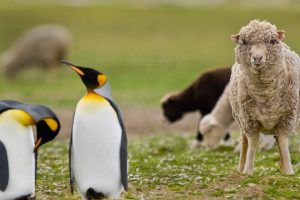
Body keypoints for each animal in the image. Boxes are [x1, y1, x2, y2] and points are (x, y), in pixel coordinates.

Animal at [229, 19, 298, 174]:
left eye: (272, 41)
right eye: (244, 42)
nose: (257, 58)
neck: (265, 94)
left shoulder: (286, 118)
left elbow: (283, 142)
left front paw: (289, 171)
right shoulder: (249, 120)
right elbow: (253, 143)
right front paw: (248, 170)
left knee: (277, 139)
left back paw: (282, 168)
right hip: (240, 119)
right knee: (244, 141)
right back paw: (240, 168)